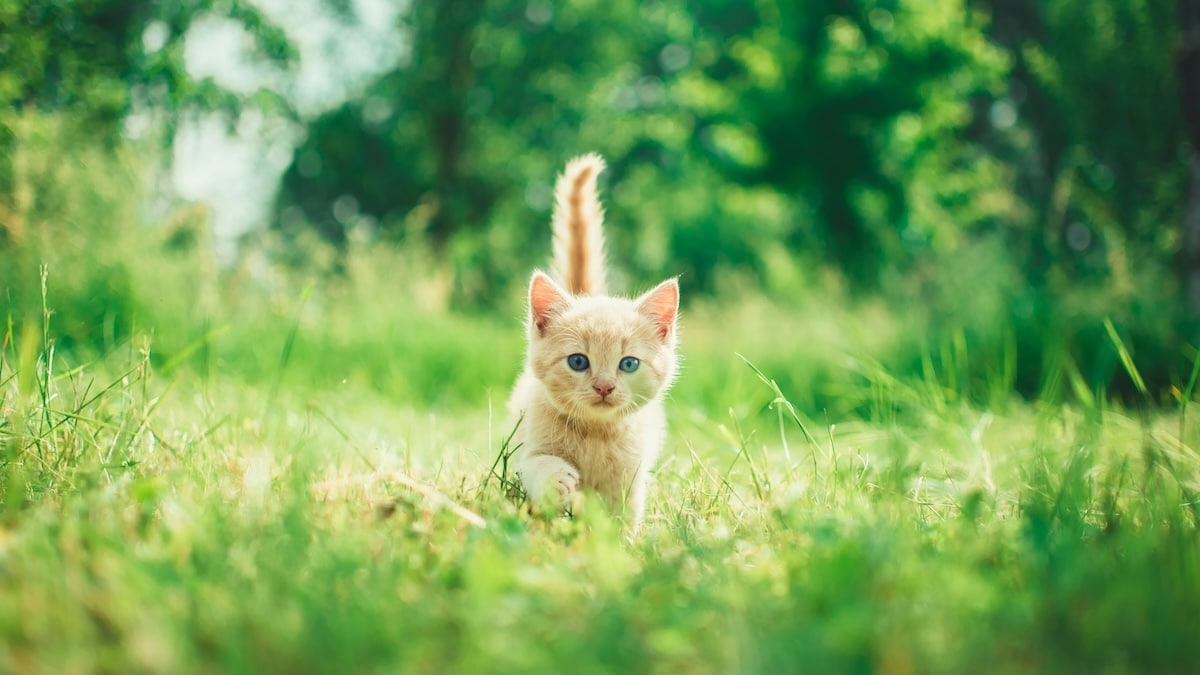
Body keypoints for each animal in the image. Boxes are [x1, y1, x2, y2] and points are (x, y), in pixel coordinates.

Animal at [504, 152, 676, 526]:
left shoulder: (631, 478)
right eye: (578, 361)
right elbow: (537, 465)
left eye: (629, 364)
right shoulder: (528, 448)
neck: (595, 435)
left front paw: (621, 539)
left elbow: (623, 516)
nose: (604, 387)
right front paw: (557, 480)